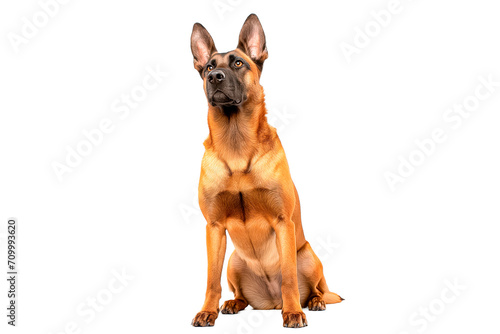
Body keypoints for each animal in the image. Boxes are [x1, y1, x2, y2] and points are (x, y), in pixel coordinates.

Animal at [189, 13, 342, 328]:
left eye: (238, 63)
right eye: (209, 66)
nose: (214, 77)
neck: (236, 144)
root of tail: (270, 302)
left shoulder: (283, 223)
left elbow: (289, 279)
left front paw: (294, 312)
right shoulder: (214, 228)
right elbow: (211, 280)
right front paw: (208, 311)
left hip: (307, 256)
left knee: (315, 287)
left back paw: (313, 302)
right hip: (234, 261)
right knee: (240, 293)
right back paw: (233, 303)